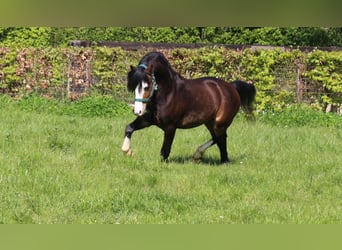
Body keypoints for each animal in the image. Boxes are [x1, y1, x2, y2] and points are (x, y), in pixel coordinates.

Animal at [121, 51, 255, 164]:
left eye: (146, 87)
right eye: (133, 87)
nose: (138, 111)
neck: (168, 92)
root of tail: (232, 87)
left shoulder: (170, 127)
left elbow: (165, 150)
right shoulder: (148, 120)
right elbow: (129, 128)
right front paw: (128, 151)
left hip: (220, 122)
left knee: (220, 138)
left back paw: (217, 159)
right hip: (209, 122)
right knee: (218, 138)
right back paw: (204, 157)